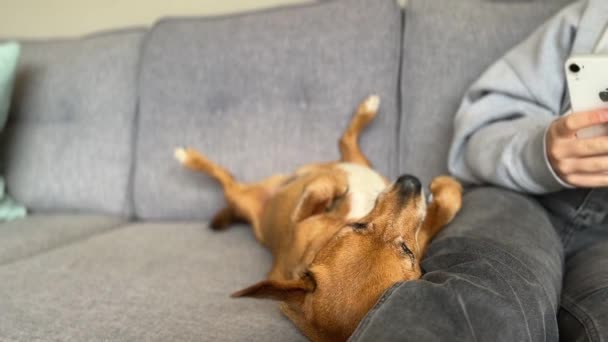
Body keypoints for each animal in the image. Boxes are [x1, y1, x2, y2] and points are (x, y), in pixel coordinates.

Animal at [173, 95, 464, 340]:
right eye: (358, 226)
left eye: (409, 252)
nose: (410, 182)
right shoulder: (301, 226)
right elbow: (316, 194)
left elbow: (446, 205)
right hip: (246, 196)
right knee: (228, 179)